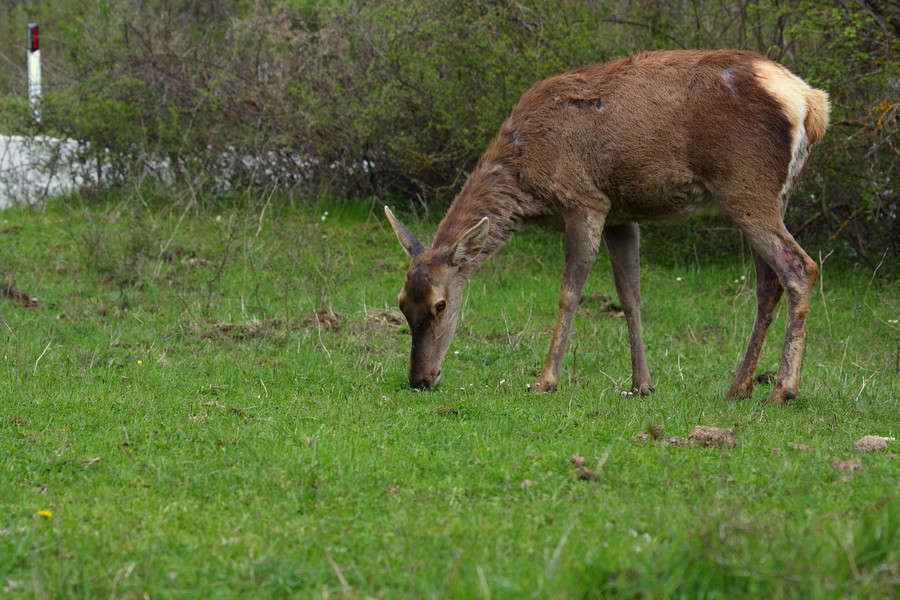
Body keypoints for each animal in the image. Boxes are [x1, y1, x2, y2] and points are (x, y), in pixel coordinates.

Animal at [384, 49, 828, 406]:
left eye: (441, 305)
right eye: (402, 303)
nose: (419, 379)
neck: (528, 177)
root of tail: (811, 104)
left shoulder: (585, 199)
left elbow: (569, 291)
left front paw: (545, 381)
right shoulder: (621, 213)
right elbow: (630, 295)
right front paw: (641, 384)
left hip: (744, 183)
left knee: (799, 267)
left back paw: (783, 389)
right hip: (773, 195)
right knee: (767, 284)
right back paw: (739, 386)